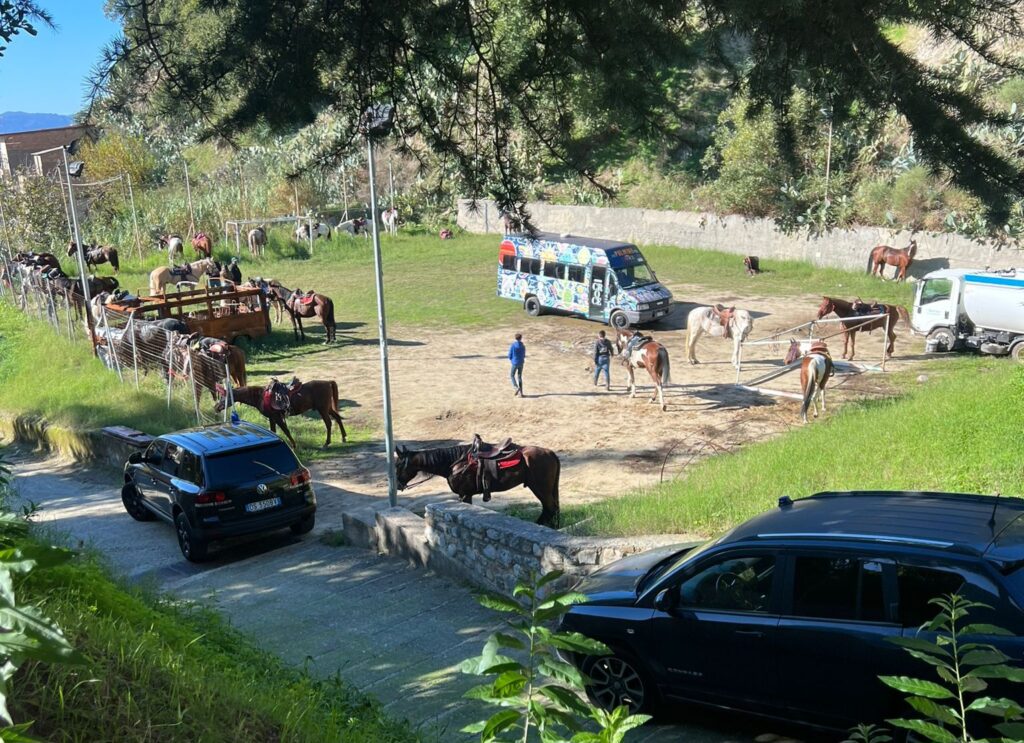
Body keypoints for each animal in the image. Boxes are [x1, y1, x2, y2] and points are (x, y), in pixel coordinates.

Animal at [216, 380, 348, 450]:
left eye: (223, 397)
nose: (216, 407)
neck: (260, 396)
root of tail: (328, 382)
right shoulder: (272, 418)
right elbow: (273, 431)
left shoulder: (277, 417)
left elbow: (286, 431)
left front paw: (293, 445)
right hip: (328, 408)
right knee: (337, 418)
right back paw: (343, 437)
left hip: (322, 409)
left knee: (329, 423)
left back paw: (326, 443)